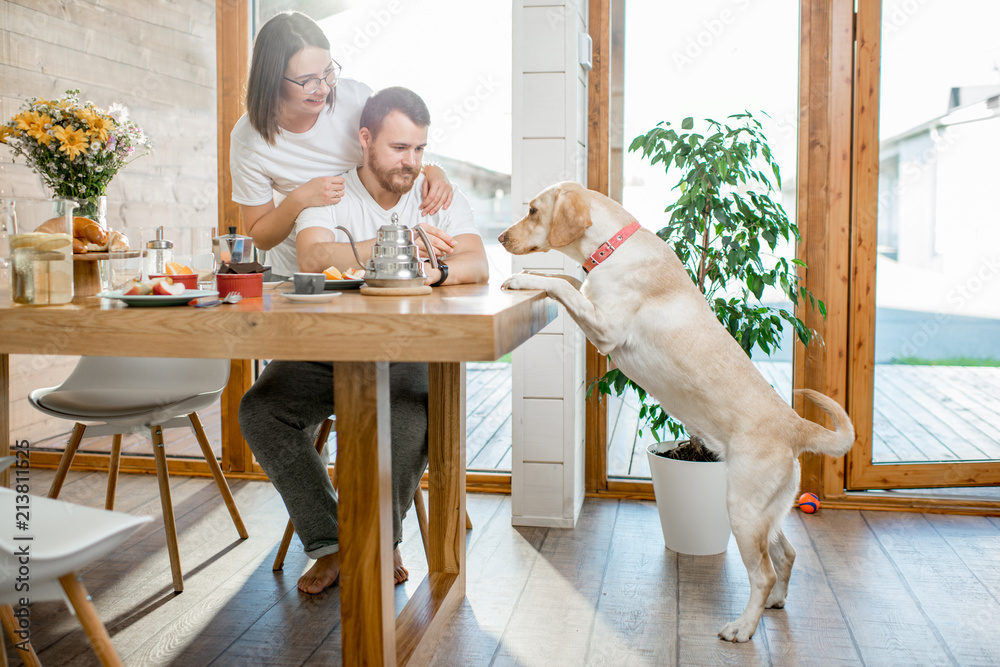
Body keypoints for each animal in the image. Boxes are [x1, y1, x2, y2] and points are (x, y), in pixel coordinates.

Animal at [498, 181, 852, 640]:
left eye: (533, 211)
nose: (500, 238)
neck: (613, 247)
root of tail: (794, 425)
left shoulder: (605, 328)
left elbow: (565, 287)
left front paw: (522, 277)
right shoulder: (589, 296)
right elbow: (563, 278)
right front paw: (532, 276)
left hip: (743, 509)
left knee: (765, 572)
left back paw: (742, 628)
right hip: (765, 513)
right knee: (788, 555)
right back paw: (774, 604)